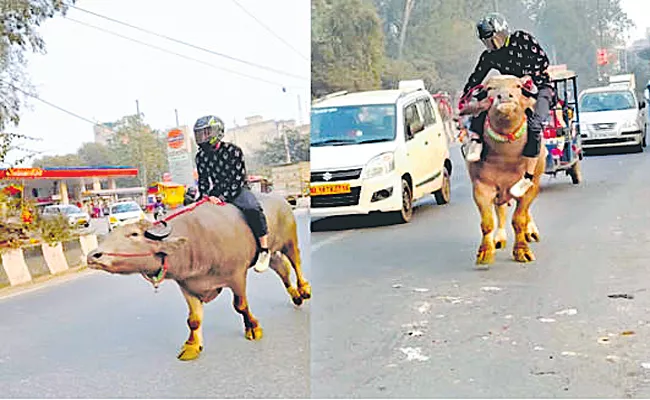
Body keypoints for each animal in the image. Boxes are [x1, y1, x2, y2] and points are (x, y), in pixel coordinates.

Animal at [85, 195, 308, 360]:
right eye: (111, 234)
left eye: (133, 234)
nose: (93, 256)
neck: (197, 242)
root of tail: (282, 199)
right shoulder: (188, 286)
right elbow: (193, 320)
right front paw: (192, 346)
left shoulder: (237, 276)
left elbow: (240, 305)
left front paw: (252, 328)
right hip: (271, 253)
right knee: (282, 269)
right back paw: (296, 296)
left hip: (290, 240)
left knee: (296, 262)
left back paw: (304, 289)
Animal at [458, 76, 544, 268]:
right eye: (490, 88)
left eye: (517, 86)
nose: (504, 96)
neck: (506, 157)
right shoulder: (482, 187)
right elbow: (487, 222)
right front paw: (485, 252)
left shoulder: (531, 188)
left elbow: (519, 220)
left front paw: (522, 251)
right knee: (501, 209)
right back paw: (499, 238)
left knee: (524, 213)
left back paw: (531, 231)